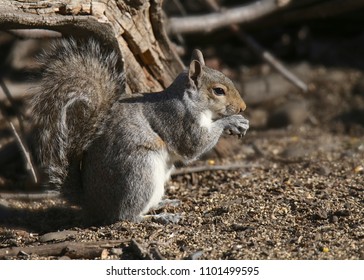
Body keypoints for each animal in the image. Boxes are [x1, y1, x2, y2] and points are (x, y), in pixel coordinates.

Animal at [29, 38, 249, 225]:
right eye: (218, 91)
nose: (243, 107)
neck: (189, 100)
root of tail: (92, 204)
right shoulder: (177, 119)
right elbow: (193, 146)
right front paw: (231, 122)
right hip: (139, 173)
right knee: (127, 216)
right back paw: (162, 217)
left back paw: (164, 204)